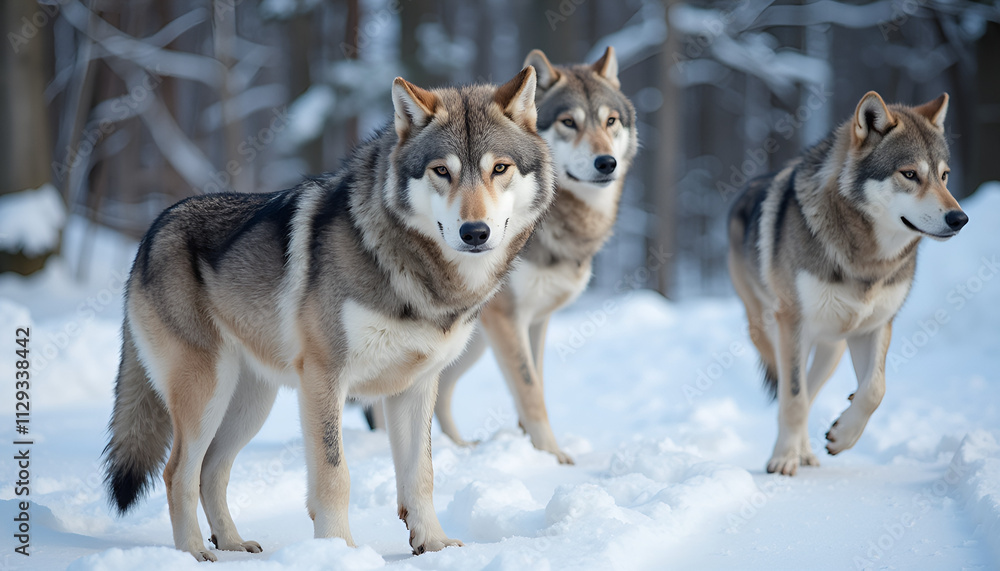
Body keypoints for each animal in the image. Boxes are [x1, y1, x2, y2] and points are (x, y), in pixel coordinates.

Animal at [102, 67, 554, 560]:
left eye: (499, 168)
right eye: (441, 171)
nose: (475, 232)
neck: (419, 276)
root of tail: (152, 231)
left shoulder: (416, 387)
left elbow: (422, 474)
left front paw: (433, 544)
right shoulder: (325, 377)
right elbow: (335, 474)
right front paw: (338, 549)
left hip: (250, 404)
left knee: (211, 471)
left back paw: (234, 543)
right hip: (207, 393)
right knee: (177, 472)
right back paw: (195, 553)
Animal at [433, 47, 637, 464]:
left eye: (610, 121)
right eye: (568, 122)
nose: (606, 162)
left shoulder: (536, 320)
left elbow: (535, 382)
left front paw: (533, 449)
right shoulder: (507, 317)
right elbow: (529, 390)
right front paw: (553, 457)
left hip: (472, 344)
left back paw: (460, 447)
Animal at [728, 91, 968, 476]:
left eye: (944, 176)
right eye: (910, 174)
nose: (960, 218)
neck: (867, 261)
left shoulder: (874, 326)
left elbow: (875, 390)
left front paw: (842, 436)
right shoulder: (792, 324)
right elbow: (793, 399)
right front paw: (783, 459)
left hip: (831, 348)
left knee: (811, 389)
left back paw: (807, 451)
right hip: (770, 331)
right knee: (791, 391)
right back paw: (791, 451)